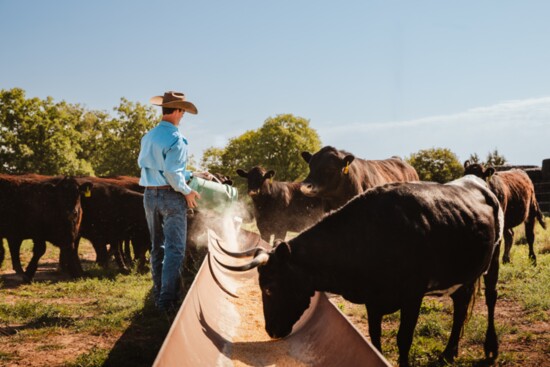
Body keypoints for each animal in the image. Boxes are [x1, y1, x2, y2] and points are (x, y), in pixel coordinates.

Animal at [218, 177, 506, 366]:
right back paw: (449, 352)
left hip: (493, 260)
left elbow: (403, 339)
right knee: (460, 305)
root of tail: (478, 182)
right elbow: (375, 339)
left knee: (490, 297)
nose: (271, 331)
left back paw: (490, 347)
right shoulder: (373, 300)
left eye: (269, 288)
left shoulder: (412, 296)